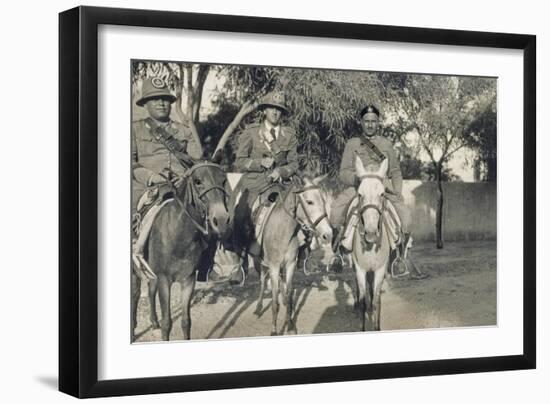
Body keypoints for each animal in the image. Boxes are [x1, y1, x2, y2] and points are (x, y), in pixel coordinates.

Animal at [132, 161, 231, 340]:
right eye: (198, 181)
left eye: (223, 180)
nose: (221, 220)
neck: (177, 234)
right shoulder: (164, 280)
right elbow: (167, 323)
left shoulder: (188, 280)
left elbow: (186, 322)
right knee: (135, 295)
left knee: (150, 290)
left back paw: (153, 322)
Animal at [253, 175, 332, 336]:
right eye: (309, 201)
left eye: (323, 200)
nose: (328, 234)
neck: (283, 230)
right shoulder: (274, 266)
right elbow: (274, 302)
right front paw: (274, 330)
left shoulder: (290, 264)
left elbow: (289, 295)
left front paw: (289, 325)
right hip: (261, 262)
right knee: (263, 281)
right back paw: (258, 307)